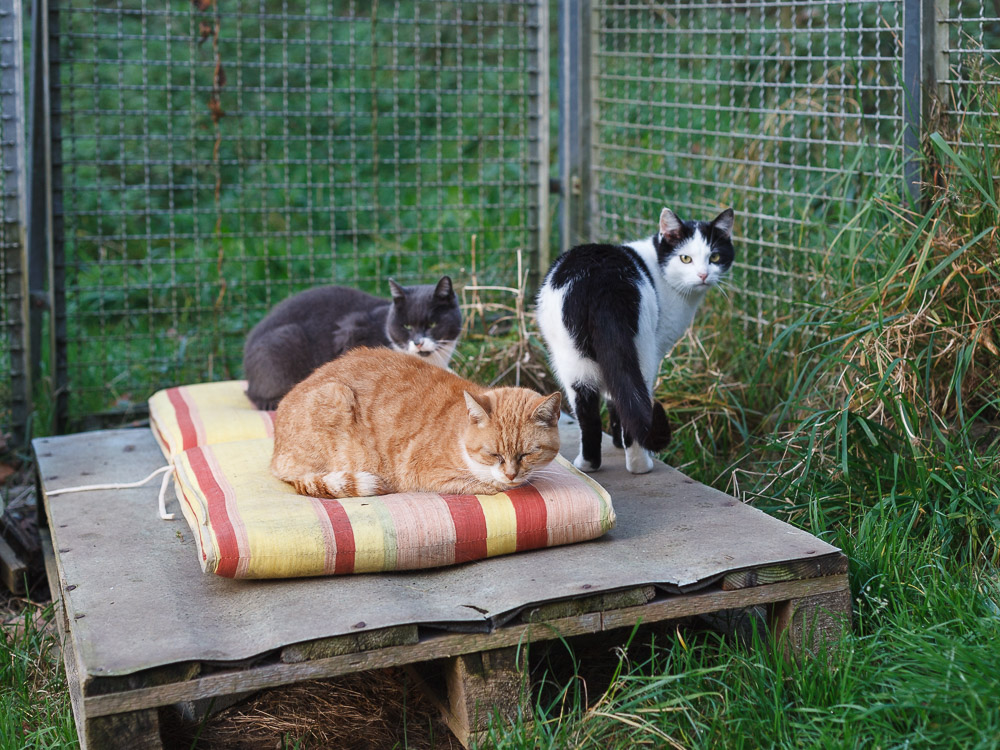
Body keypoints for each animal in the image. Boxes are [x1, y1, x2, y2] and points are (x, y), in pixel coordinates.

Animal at [270, 348, 564, 500]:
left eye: (528, 453)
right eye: (493, 454)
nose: (512, 474)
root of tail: (274, 456)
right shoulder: (424, 472)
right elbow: (487, 486)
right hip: (335, 395)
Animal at [540, 209, 736, 472]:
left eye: (714, 256)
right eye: (685, 259)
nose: (703, 275)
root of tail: (604, 284)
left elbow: (615, 399)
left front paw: (616, 442)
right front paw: (620, 442)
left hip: (575, 358)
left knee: (591, 412)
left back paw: (589, 464)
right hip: (642, 351)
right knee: (628, 402)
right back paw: (639, 465)